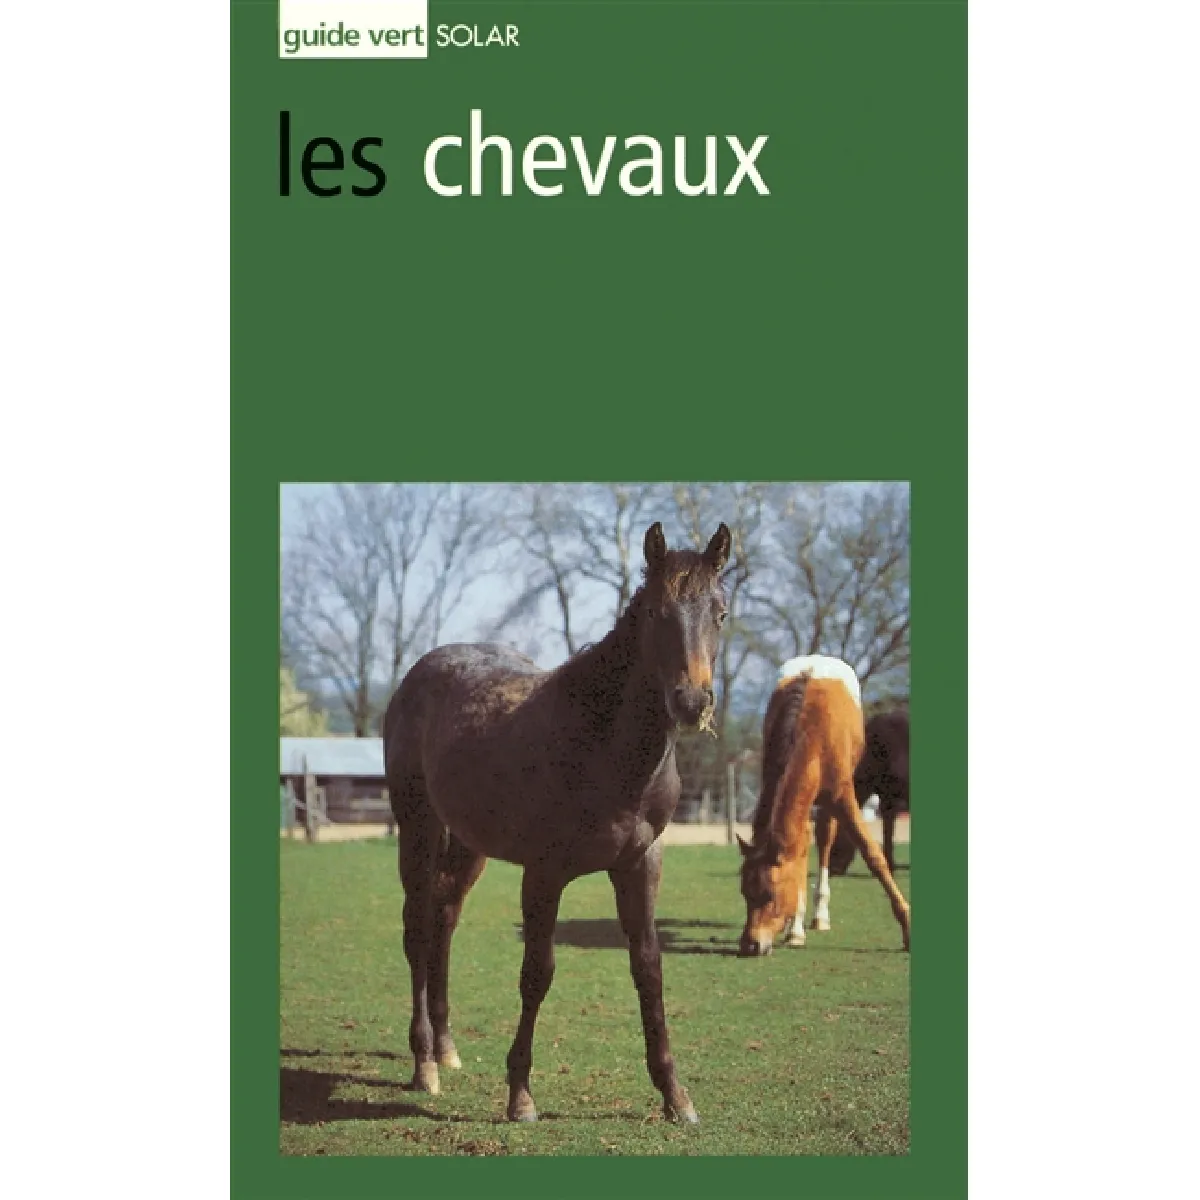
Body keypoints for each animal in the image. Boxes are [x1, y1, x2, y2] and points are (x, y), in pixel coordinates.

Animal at [382, 521, 731, 1124]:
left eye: (721, 612)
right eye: (656, 612)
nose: (692, 702)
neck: (603, 745)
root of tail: (416, 677)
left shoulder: (639, 864)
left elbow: (648, 969)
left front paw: (675, 1095)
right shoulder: (544, 873)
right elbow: (537, 973)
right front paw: (520, 1095)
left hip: (469, 844)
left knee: (444, 921)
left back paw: (447, 1048)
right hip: (418, 829)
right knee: (418, 929)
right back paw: (424, 1062)